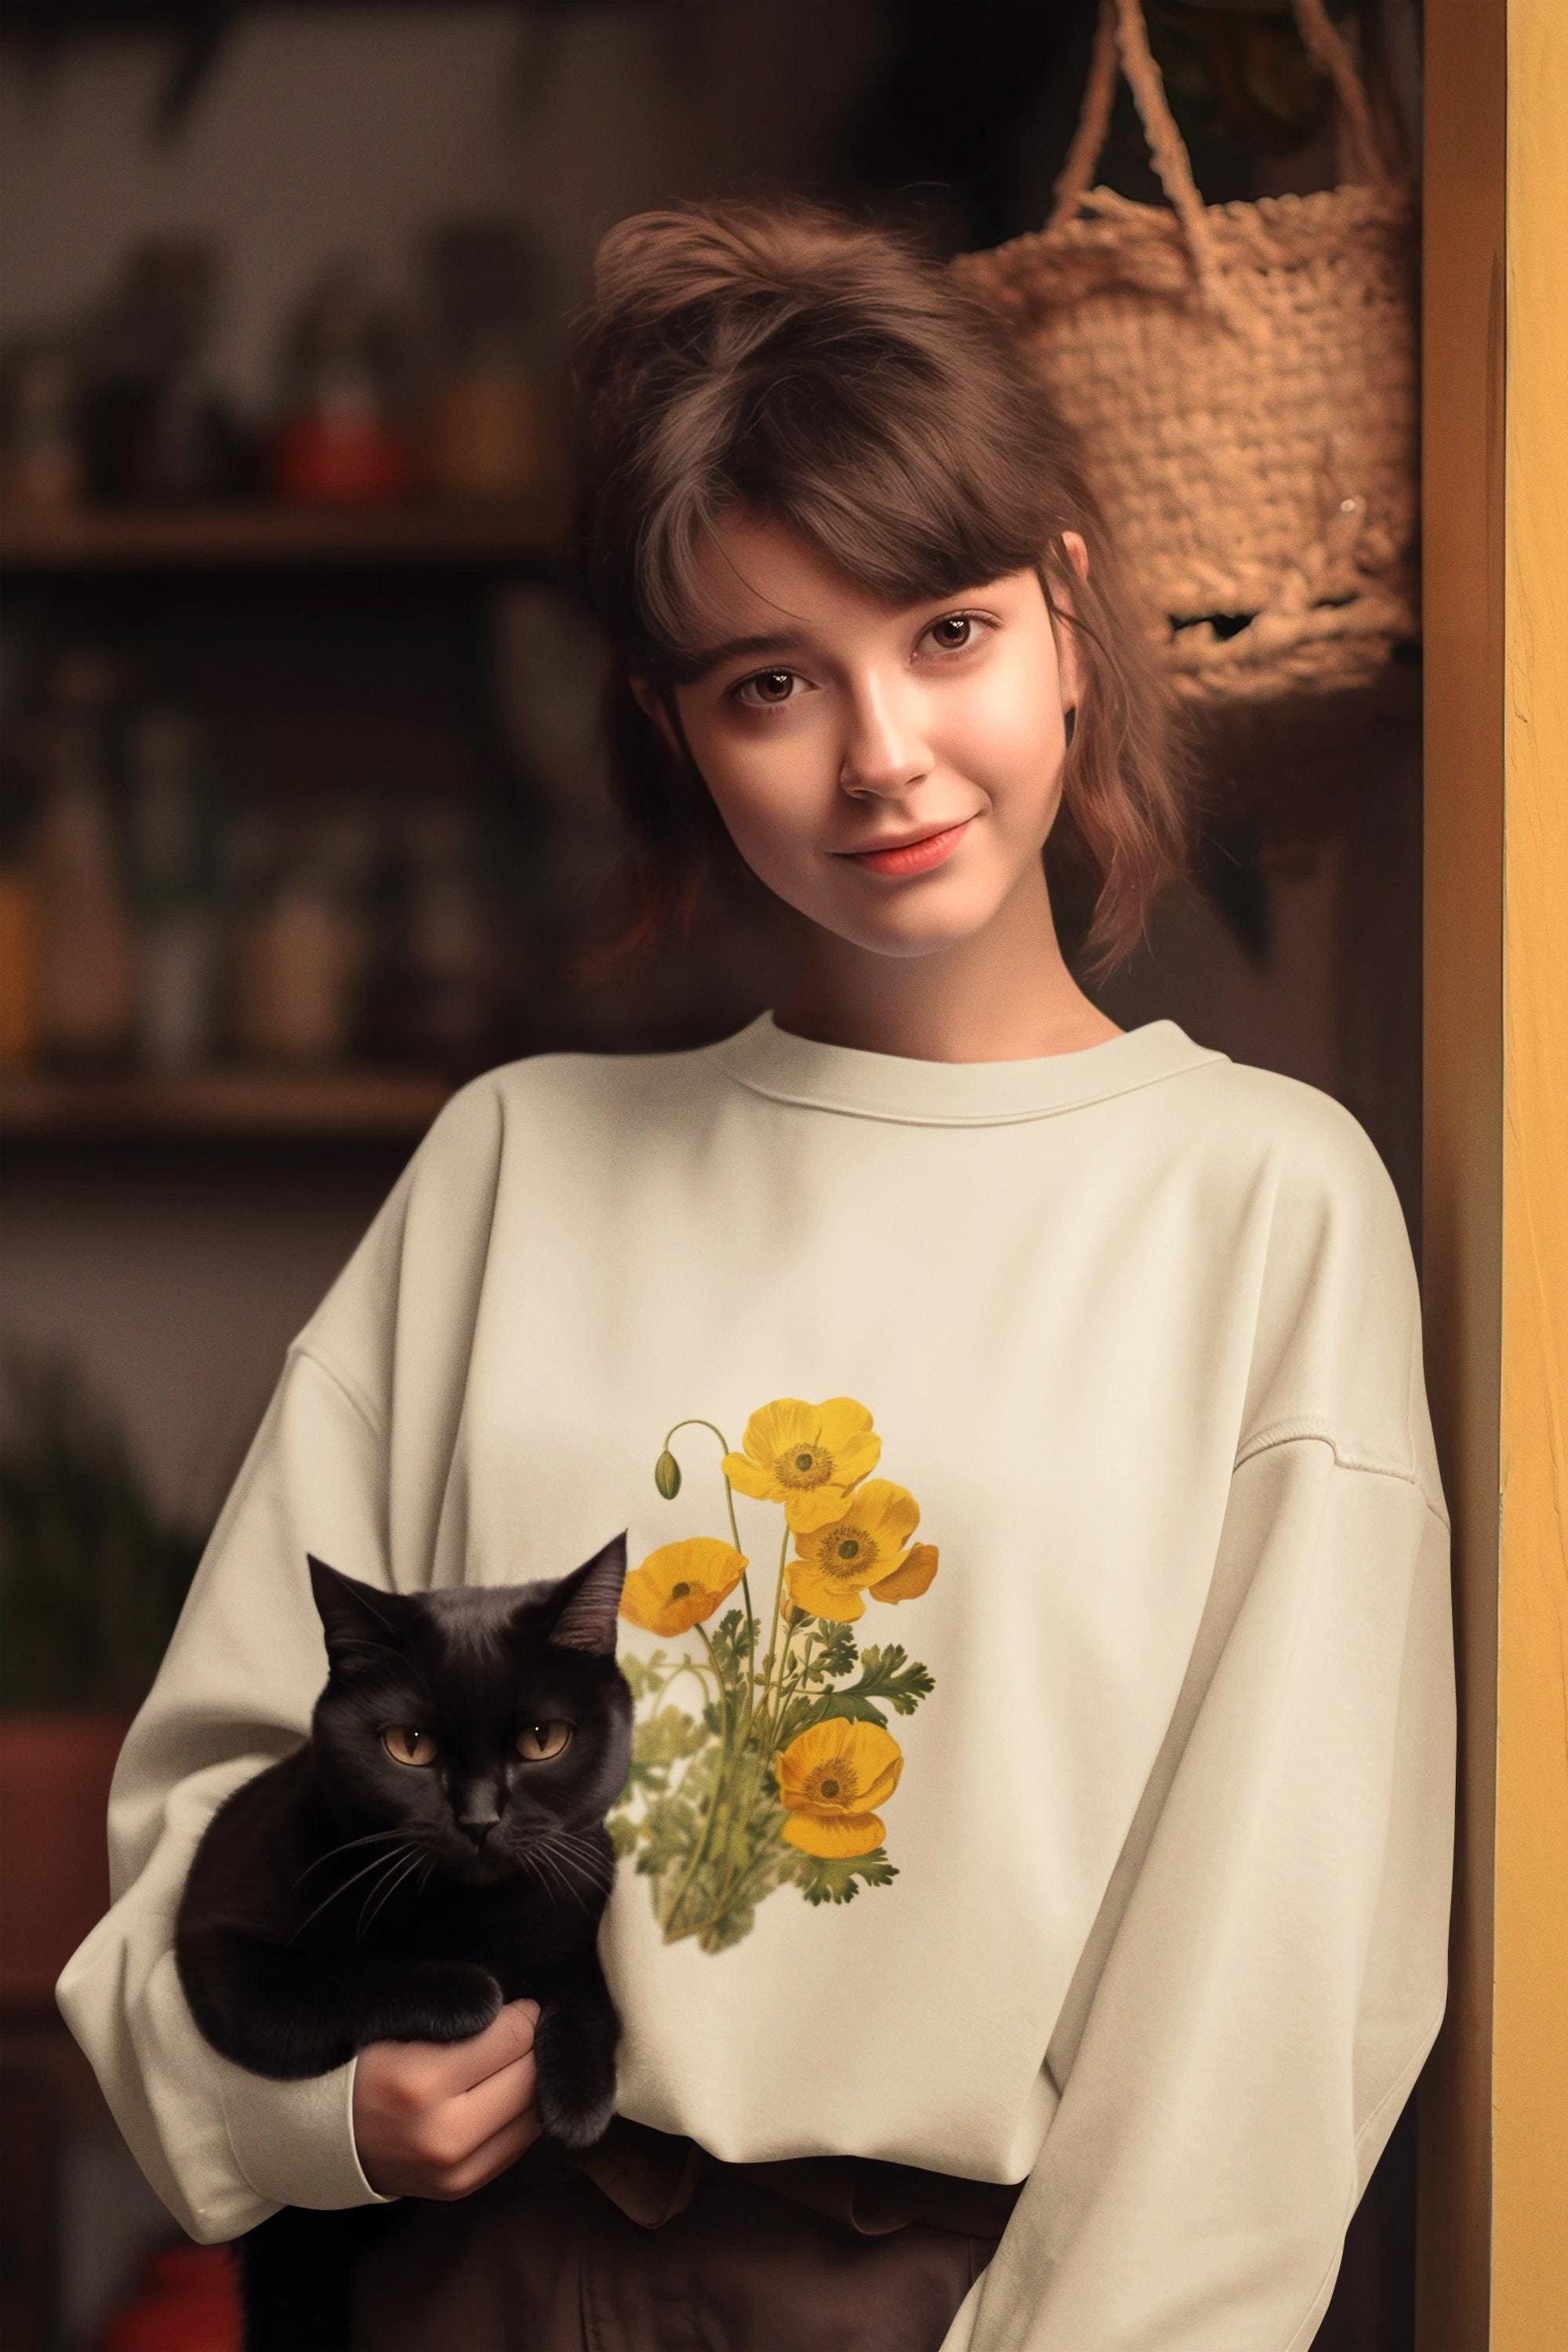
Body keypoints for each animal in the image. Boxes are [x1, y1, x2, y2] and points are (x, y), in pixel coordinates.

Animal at [175, 1524, 634, 2352]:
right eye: (409, 1746)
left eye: (543, 1740)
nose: (479, 1818)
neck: (474, 1914)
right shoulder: (220, 1953)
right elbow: (341, 1983)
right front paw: (470, 1989)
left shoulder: (584, 1884)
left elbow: (584, 1979)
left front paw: (581, 2095)